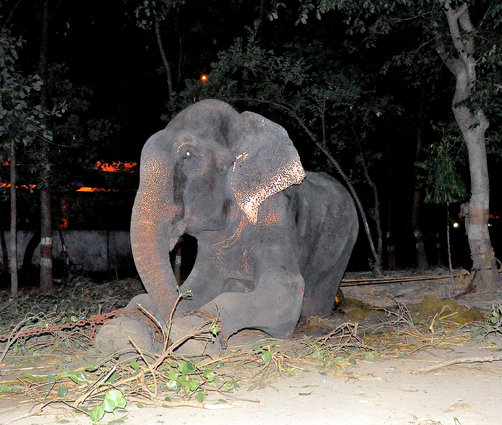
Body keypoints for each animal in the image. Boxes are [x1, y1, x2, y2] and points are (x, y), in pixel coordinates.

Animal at [96, 99, 358, 354]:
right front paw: (120, 331)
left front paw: (192, 334)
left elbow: (286, 291)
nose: (165, 329)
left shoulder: (274, 216)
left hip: (345, 246)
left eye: (188, 154)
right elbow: (196, 286)